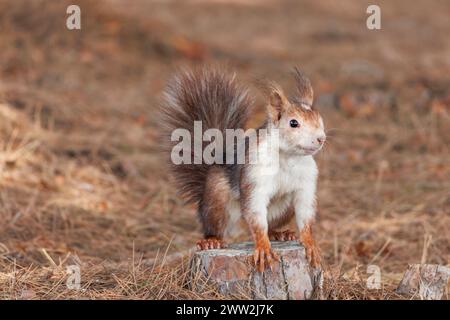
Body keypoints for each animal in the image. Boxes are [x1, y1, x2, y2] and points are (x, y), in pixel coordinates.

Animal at [160, 66, 326, 272]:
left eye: (319, 118)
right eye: (293, 123)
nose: (321, 138)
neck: (288, 157)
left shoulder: (306, 183)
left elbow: (306, 214)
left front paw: (310, 243)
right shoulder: (255, 176)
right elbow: (256, 215)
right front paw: (263, 248)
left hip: (284, 207)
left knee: (271, 224)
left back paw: (280, 233)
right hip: (217, 198)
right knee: (216, 225)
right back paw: (212, 241)